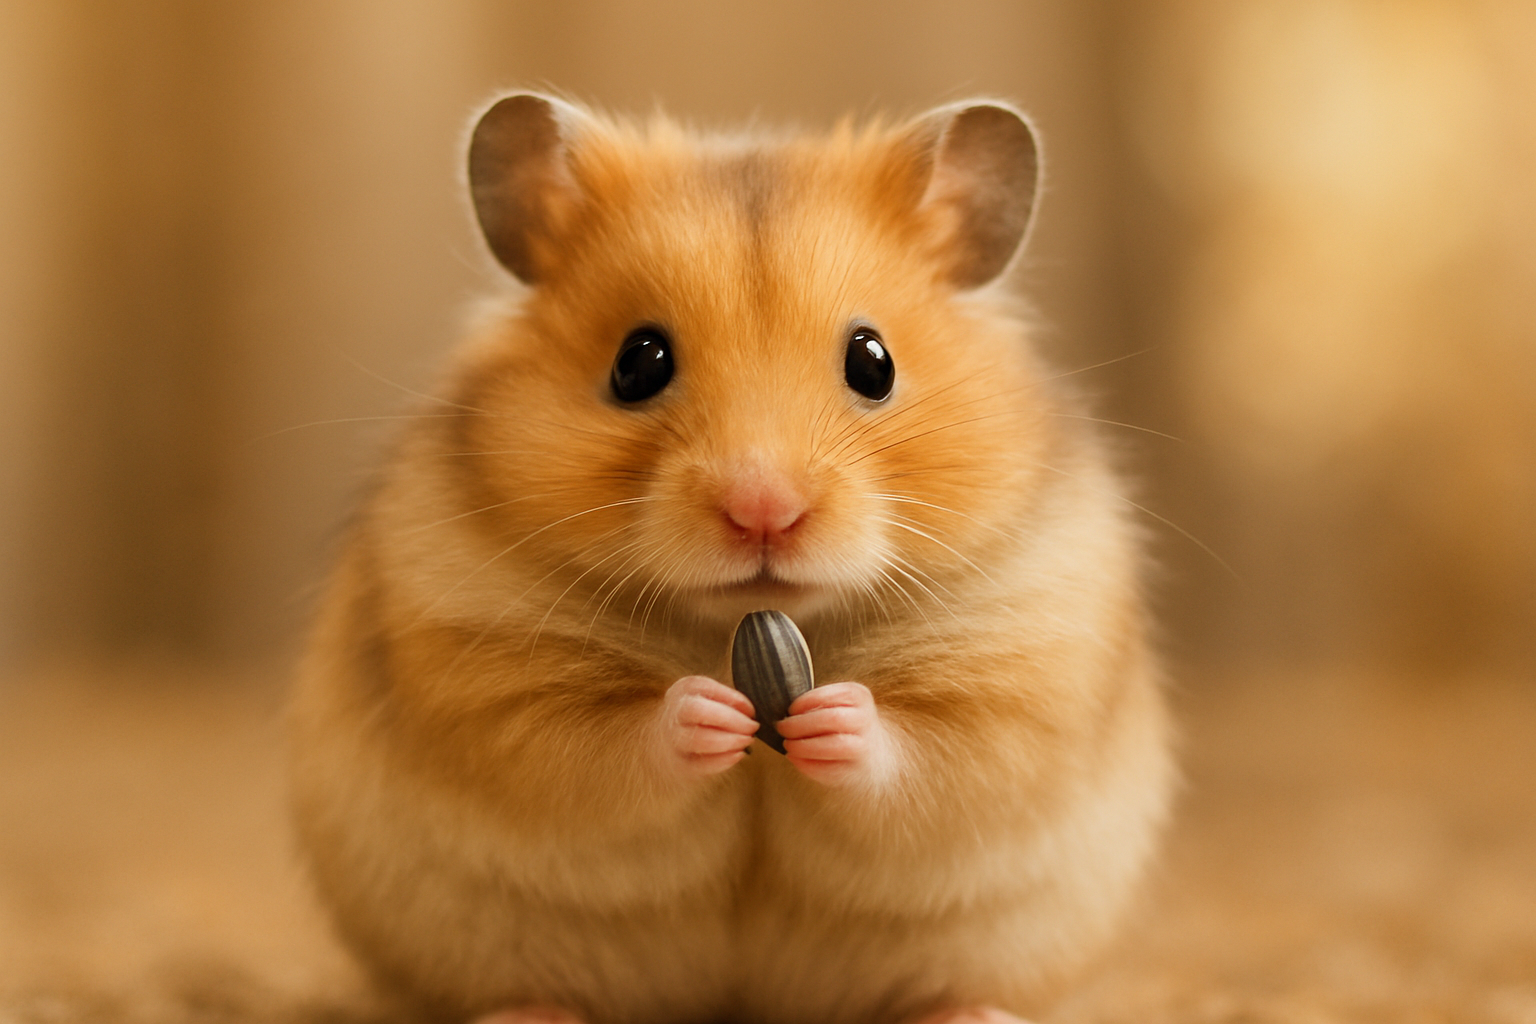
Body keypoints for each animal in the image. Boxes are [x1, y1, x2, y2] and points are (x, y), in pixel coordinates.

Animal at [289, 92, 1173, 1024]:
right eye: (637, 362)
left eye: (874, 361)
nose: (762, 510)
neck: (742, 622)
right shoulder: (485, 676)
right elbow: (600, 747)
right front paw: (709, 711)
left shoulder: (1022, 674)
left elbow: (928, 756)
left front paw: (830, 715)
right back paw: (528, 1015)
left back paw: (969, 1014)